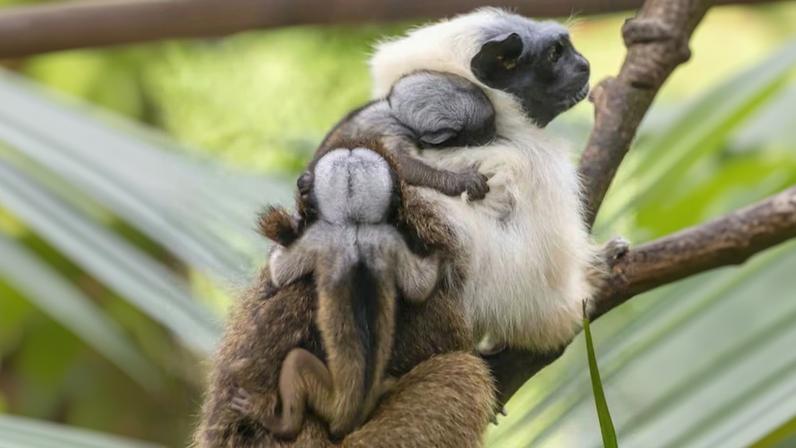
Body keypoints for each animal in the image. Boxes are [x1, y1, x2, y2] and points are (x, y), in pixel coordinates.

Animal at [235, 146, 442, 439]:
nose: (303, 181)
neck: (355, 222)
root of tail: (349, 417)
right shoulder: (388, 236)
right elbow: (420, 287)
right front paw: (435, 254)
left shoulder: (320, 235)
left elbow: (281, 273)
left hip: (328, 397)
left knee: (296, 362)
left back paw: (281, 423)